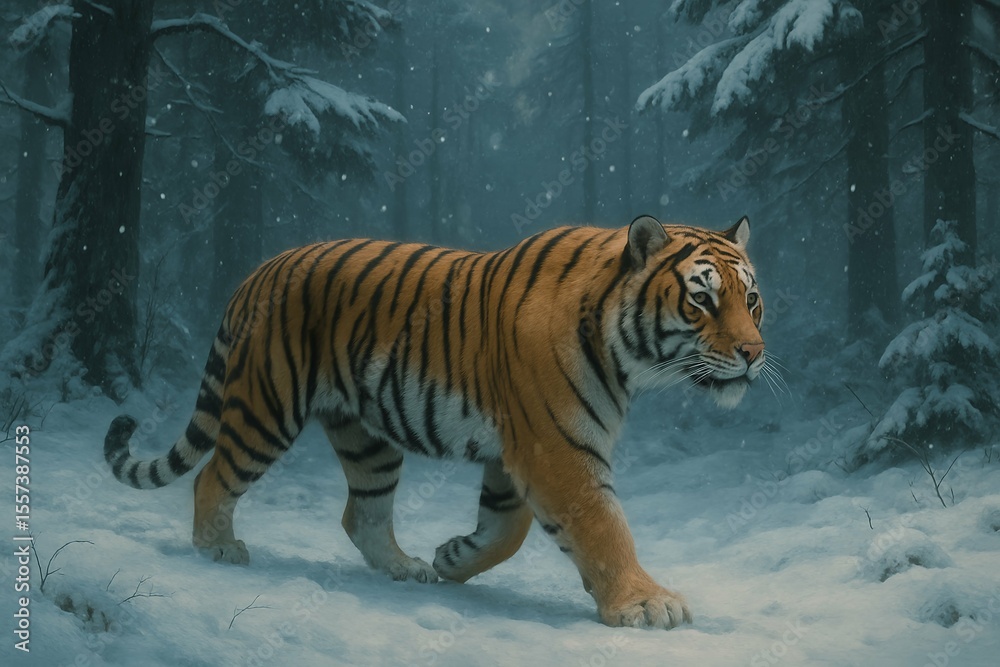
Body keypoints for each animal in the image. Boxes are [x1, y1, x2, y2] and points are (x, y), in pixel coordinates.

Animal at [104, 214, 765, 629]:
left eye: (751, 299)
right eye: (702, 298)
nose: (755, 353)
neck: (625, 355)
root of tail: (257, 271)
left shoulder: (518, 449)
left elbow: (507, 527)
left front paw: (452, 557)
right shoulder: (557, 448)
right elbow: (603, 527)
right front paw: (645, 605)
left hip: (366, 437)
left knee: (362, 513)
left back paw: (407, 568)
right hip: (267, 407)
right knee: (212, 477)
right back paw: (216, 548)